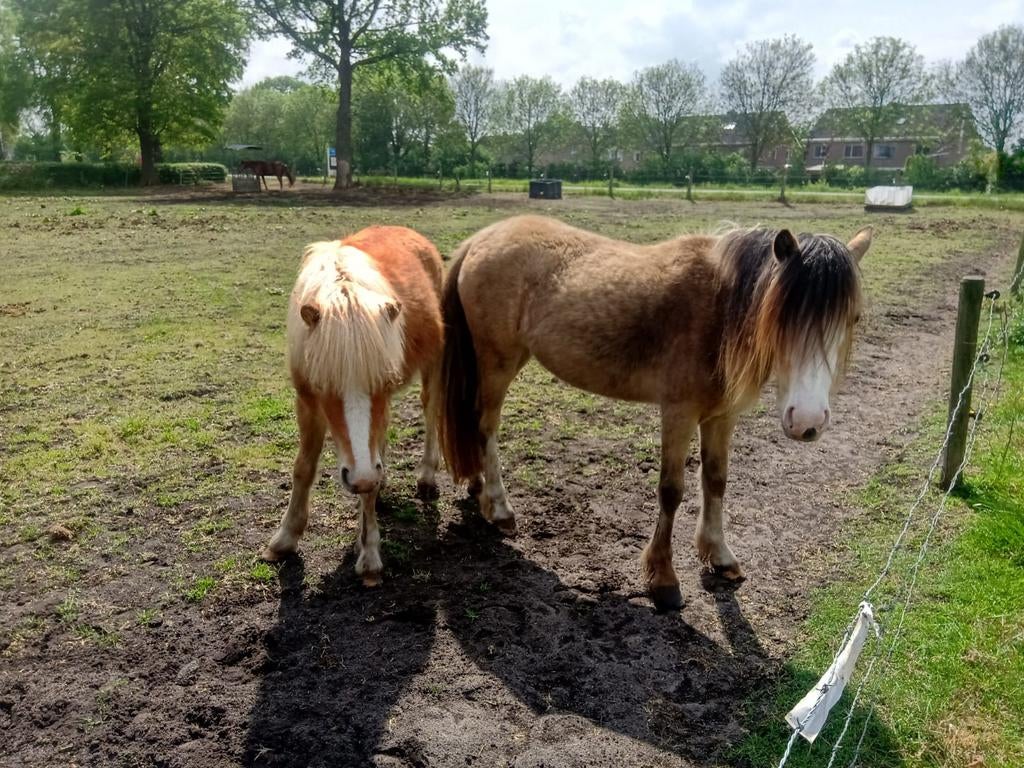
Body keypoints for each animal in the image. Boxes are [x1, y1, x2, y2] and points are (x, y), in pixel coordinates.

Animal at [262, 226, 444, 586]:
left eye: (383, 384)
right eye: (325, 386)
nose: (360, 476)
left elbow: (368, 484)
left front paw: (370, 556)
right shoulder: (306, 400)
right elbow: (303, 467)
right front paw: (285, 538)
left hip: (433, 364)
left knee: (430, 412)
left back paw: (426, 476)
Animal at [438, 215, 871, 610]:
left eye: (853, 317)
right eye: (781, 315)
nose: (808, 422)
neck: (717, 308)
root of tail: (481, 238)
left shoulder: (721, 417)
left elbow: (716, 480)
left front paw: (719, 554)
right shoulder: (679, 412)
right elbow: (671, 491)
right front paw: (663, 579)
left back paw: (477, 487)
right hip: (498, 363)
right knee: (485, 427)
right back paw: (498, 507)